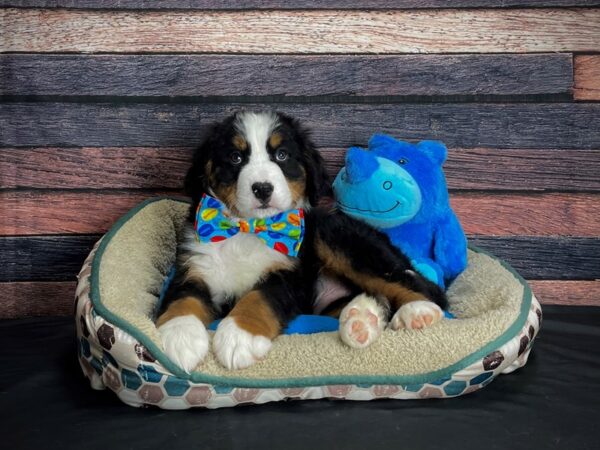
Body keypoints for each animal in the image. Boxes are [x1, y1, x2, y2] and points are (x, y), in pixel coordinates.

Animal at [155, 110, 446, 370]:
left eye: (282, 155)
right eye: (235, 158)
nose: (262, 188)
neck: (248, 228)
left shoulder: (290, 274)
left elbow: (259, 297)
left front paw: (239, 336)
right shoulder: (194, 266)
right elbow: (183, 298)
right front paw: (179, 336)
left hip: (339, 239)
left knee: (415, 284)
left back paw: (416, 312)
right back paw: (361, 321)